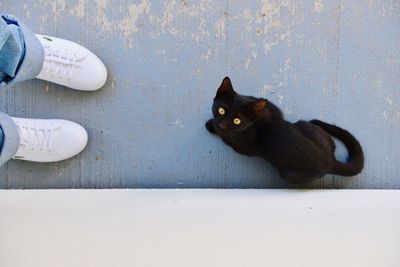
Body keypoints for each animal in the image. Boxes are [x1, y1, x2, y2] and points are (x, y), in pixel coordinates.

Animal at [205, 77, 364, 184]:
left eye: (237, 121)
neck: (257, 120)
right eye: (221, 110)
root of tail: (331, 161)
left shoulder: (241, 145)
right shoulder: (272, 107)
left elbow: (226, 137)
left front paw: (210, 125)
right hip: (308, 127)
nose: (222, 125)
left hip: (290, 175)